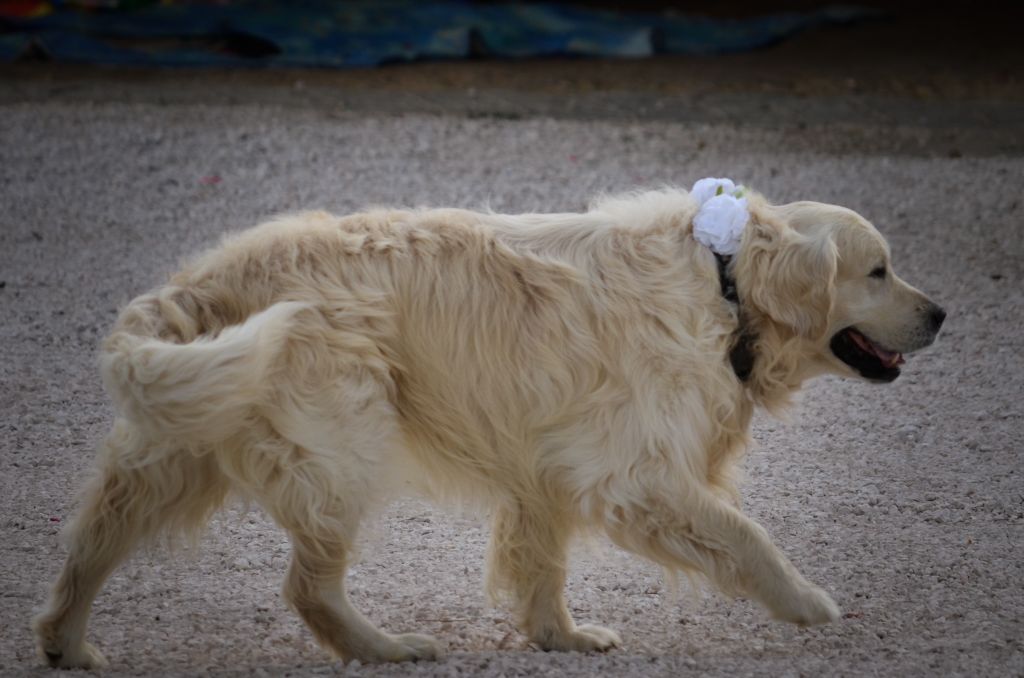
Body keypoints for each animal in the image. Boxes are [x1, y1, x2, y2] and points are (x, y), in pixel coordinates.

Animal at [34, 186, 942, 667]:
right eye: (878, 270)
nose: (942, 314)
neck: (725, 287)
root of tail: (206, 278)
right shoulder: (633, 475)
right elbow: (746, 535)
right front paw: (805, 602)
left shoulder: (548, 467)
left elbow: (542, 567)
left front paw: (560, 637)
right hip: (343, 444)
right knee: (307, 587)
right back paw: (386, 649)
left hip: (176, 441)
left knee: (89, 546)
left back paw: (66, 643)